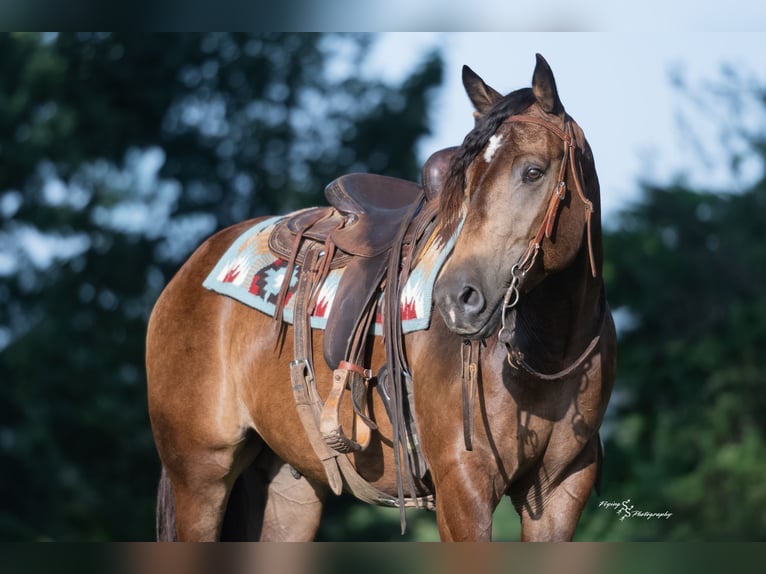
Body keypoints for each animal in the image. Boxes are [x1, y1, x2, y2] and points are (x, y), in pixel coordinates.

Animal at [146, 53, 616, 541]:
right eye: (465, 181)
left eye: (533, 171)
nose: (457, 298)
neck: (546, 350)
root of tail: (192, 267)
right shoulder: (463, 489)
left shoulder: (560, 492)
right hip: (200, 476)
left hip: (288, 490)